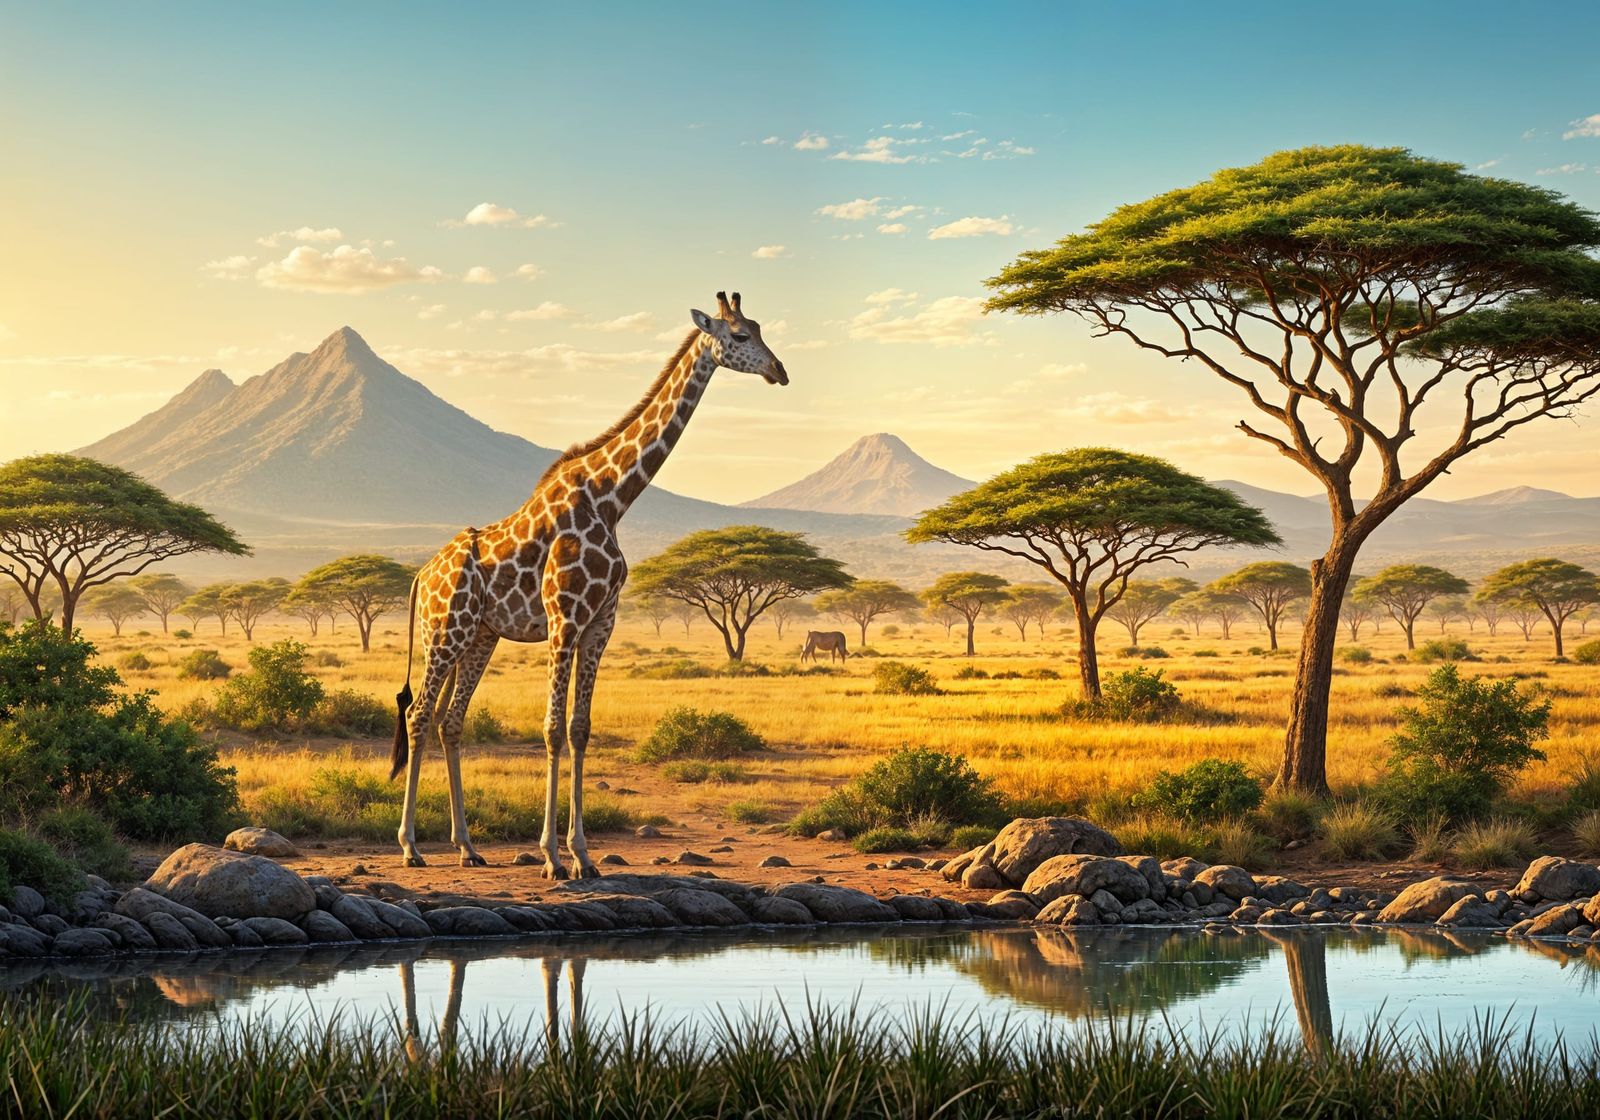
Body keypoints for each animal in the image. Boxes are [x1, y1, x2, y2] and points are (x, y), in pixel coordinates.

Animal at [390, 291, 788, 878]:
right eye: (739, 336)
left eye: (759, 328)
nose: (780, 371)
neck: (611, 498)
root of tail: (423, 572)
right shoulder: (564, 620)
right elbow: (553, 728)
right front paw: (552, 858)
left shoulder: (601, 623)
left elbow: (580, 728)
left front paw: (583, 855)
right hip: (444, 631)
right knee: (419, 717)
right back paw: (411, 846)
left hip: (481, 636)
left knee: (449, 721)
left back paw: (467, 846)